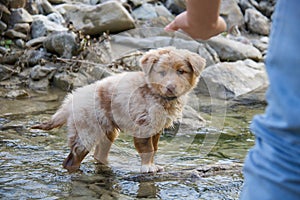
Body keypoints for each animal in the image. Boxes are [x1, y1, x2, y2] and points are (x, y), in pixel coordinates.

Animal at [32, 47, 206, 173]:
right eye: (161, 73)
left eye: (181, 71)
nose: (170, 87)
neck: (155, 94)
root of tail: (71, 100)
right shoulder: (142, 125)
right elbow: (148, 149)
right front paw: (147, 167)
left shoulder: (156, 128)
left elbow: (154, 148)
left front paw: (152, 165)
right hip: (86, 132)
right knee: (72, 159)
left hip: (107, 130)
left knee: (99, 153)